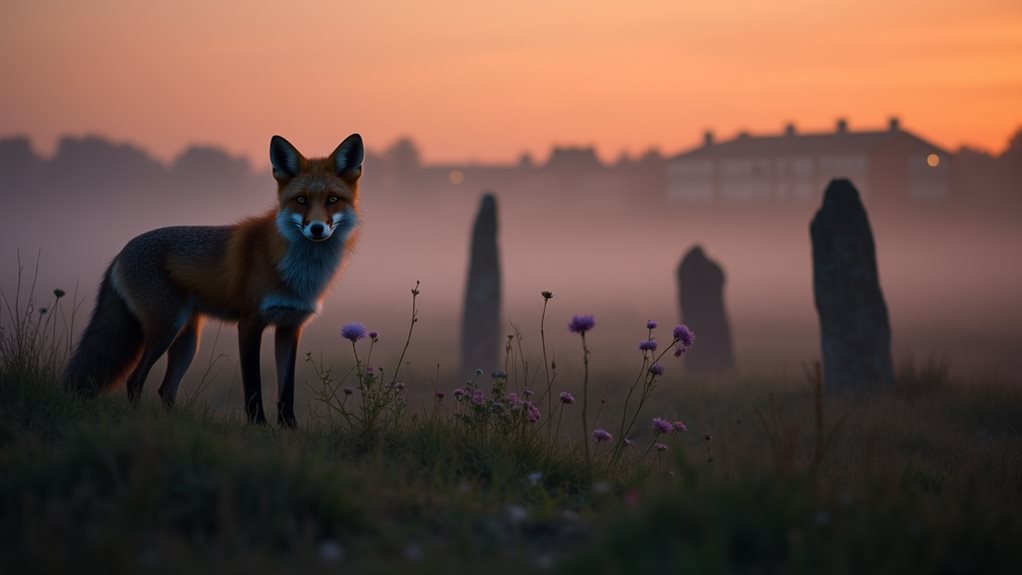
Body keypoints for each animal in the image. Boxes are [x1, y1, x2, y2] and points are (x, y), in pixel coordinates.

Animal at [63, 134, 364, 426]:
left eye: (332, 200)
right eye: (301, 200)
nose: (317, 229)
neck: (300, 270)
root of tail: (120, 252)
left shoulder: (290, 326)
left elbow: (286, 390)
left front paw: (288, 428)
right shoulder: (250, 323)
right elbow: (252, 385)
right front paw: (259, 426)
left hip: (187, 340)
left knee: (165, 389)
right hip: (166, 329)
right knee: (135, 381)